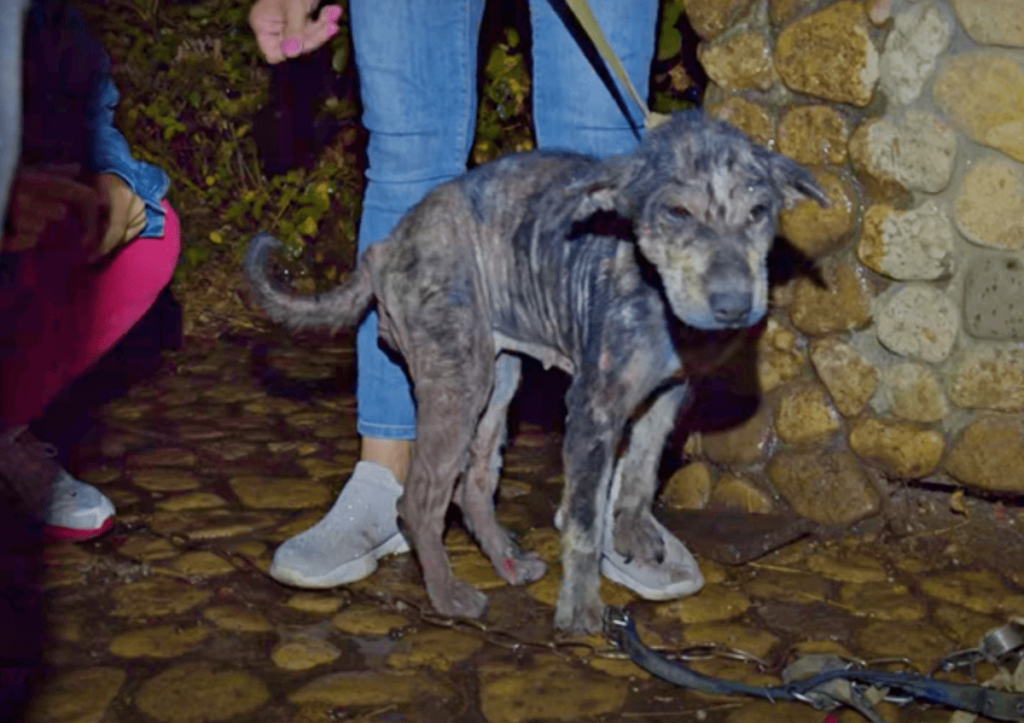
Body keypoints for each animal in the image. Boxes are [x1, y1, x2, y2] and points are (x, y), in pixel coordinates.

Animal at [243, 108, 827, 630]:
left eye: (759, 212)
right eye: (678, 212)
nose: (734, 306)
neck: (655, 297)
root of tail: (384, 246)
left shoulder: (666, 395)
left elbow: (641, 468)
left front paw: (632, 531)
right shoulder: (593, 408)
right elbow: (584, 523)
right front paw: (580, 609)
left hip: (498, 379)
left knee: (473, 485)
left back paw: (505, 559)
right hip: (458, 379)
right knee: (419, 500)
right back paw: (447, 593)